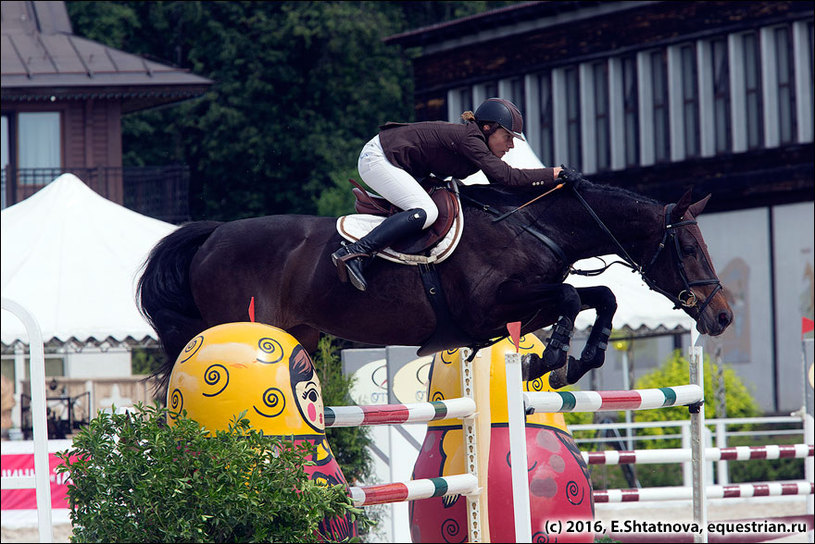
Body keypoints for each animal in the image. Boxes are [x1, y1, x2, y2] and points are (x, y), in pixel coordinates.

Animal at [139, 178, 732, 392]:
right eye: (687, 248)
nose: (722, 315)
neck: (534, 226)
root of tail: (213, 235)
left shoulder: (524, 307)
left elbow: (598, 297)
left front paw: (578, 362)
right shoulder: (491, 308)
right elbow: (570, 297)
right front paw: (549, 360)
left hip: (300, 334)